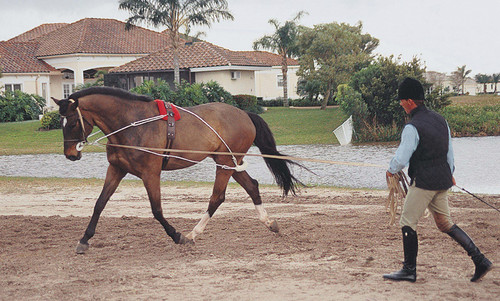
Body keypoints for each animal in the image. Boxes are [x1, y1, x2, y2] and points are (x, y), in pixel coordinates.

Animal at [52, 86, 302, 253]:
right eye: (61, 123)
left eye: (72, 122)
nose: (71, 154)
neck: (132, 124)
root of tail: (245, 114)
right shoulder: (116, 169)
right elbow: (100, 204)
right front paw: (84, 240)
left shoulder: (151, 174)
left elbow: (156, 210)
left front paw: (177, 235)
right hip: (229, 163)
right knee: (252, 187)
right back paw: (269, 223)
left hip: (225, 163)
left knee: (217, 197)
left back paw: (193, 233)